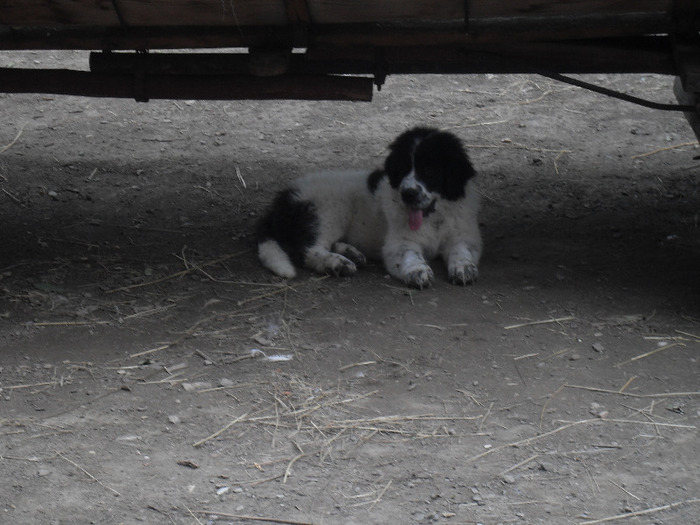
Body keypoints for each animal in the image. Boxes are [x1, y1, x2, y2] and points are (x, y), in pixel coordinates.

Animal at [258, 126, 482, 286]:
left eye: (429, 170)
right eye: (402, 169)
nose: (407, 194)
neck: (434, 217)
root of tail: (283, 198)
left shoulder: (464, 234)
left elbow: (462, 250)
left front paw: (464, 268)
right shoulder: (398, 242)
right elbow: (409, 254)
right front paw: (417, 271)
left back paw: (351, 253)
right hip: (325, 214)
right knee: (308, 250)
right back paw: (337, 263)